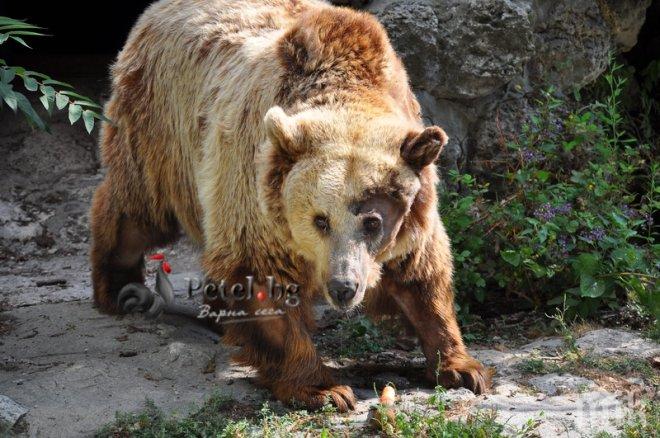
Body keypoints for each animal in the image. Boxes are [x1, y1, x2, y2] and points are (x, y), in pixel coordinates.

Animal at [89, 0, 490, 410]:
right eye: (320, 220)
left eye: (373, 221)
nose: (344, 287)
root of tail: (153, 12)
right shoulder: (256, 188)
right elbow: (261, 278)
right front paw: (323, 388)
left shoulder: (412, 213)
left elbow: (420, 276)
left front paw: (462, 366)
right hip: (162, 127)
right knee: (136, 212)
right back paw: (118, 288)